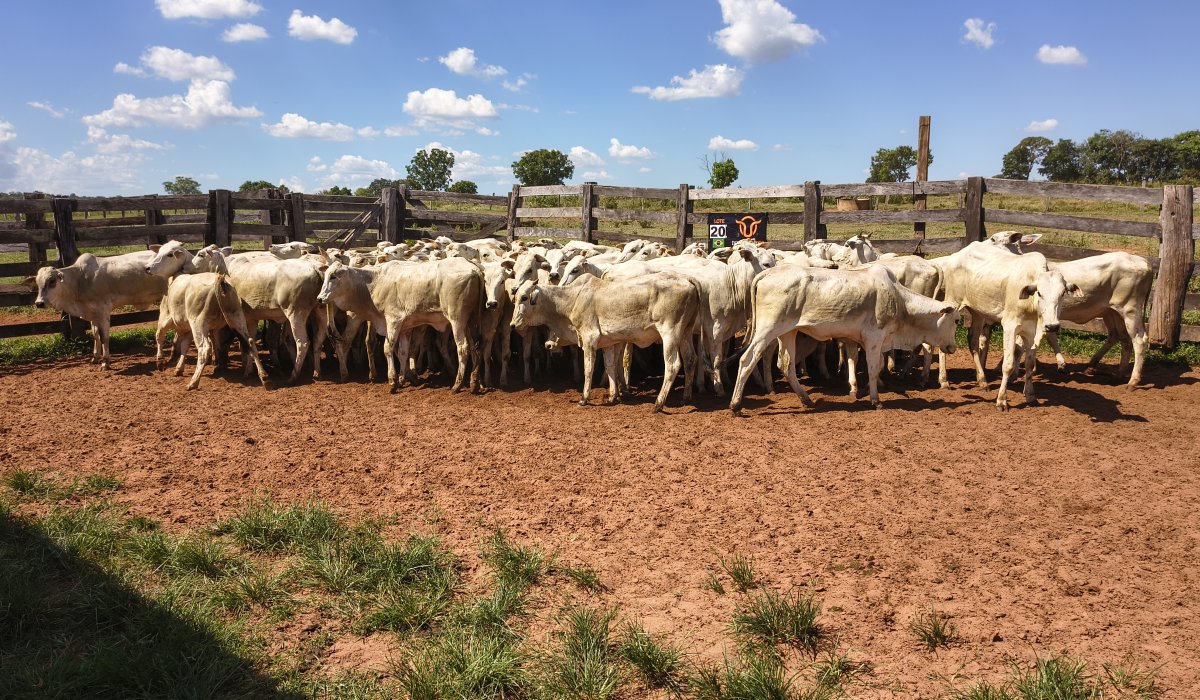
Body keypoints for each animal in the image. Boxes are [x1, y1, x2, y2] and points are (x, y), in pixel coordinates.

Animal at [317, 256, 484, 393]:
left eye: (333, 276)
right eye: (326, 276)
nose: (319, 298)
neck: (374, 282)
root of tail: (473, 267)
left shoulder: (393, 320)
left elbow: (388, 348)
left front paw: (393, 382)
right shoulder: (405, 326)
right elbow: (403, 351)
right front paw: (403, 379)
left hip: (457, 320)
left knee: (463, 348)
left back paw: (457, 385)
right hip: (470, 322)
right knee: (475, 347)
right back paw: (474, 383)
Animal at [510, 273, 700, 412]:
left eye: (524, 297)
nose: (512, 324)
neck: (573, 299)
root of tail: (687, 279)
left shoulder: (589, 340)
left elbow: (589, 370)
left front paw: (584, 398)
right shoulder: (609, 343)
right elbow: (610, 367)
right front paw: (612, 396)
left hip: (670, 333)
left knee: (673, 365)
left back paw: (658, 404)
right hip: (686, 332)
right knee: (690, 360)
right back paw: (686, 398)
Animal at [729, 265, 959, 415]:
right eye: (956, 320)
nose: (953, 348)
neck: (899, 301)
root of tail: (766, 273)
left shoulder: (862, 340)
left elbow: (869, 364)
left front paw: (860, 390)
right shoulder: (874, 338)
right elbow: (873, 369)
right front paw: (875, 400)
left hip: (787, 332)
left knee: (785, 364)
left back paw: (806, 399)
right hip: (767, 330)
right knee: (747, 360)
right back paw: (736, 405)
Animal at [933, 241, 1080, 410]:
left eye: (1062, 294)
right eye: (1040, 293)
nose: (1052, 326)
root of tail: (957, 255)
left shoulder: (1031, 331)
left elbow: (1029, 364)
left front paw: (1030, 396)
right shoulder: (1010, 326)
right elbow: (1008, 364)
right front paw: (1001, 400)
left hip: (977, 312)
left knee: (973, 341)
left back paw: (982, 381)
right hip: (953, 302)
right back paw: (944, 380)